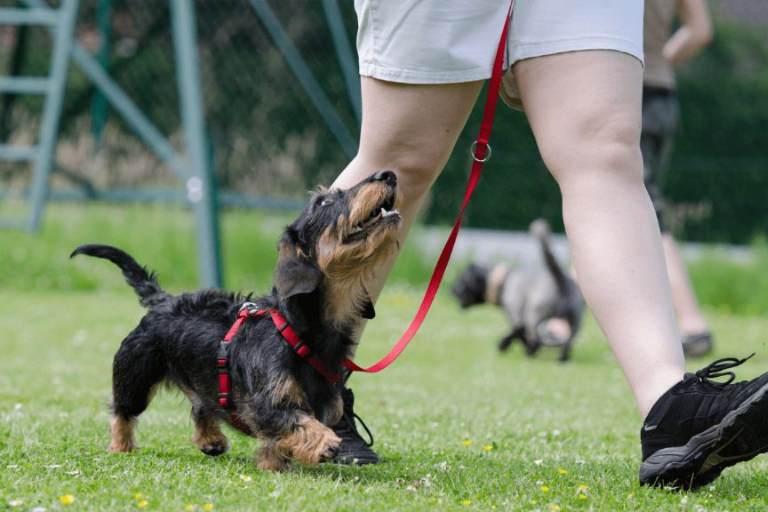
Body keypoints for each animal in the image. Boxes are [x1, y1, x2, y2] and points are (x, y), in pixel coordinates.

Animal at [71, 171, 402, 472]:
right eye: (323, 202)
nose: (387, 174)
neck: (298, 328)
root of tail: (162, 300)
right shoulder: (265, 404)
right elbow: (296, 421)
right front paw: (325, 442)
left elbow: (279, 438)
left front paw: (272, 463)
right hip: (135, 376)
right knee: (122, 412)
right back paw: (120, 446)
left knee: (200, 406)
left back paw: (211, 440)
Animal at [450, 219, 584, 360]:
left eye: (460, 280)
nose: (450, 290)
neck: (503, 281)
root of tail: (560, 279)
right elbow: (518, 334)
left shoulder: (516, 315)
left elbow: (518, 333)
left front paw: (504, 345)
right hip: (575, 321)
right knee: (567, 342)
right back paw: (561, 358)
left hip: (535, 315)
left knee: (537, 338)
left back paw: (530, 352)